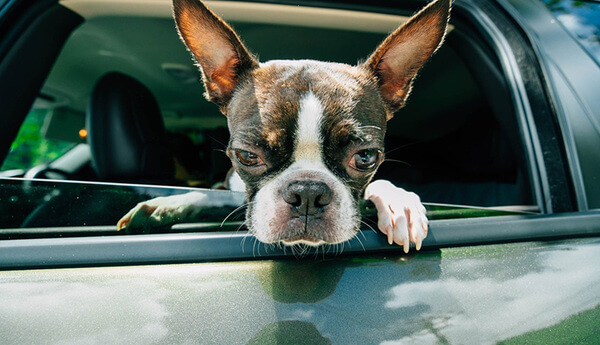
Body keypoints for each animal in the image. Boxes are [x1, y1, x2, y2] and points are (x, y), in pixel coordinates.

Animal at [117, 0, 450, 253]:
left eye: (365, 157)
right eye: (247, 156)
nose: (308, 194)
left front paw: (400, 203)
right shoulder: (227, 184)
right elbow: (208, 193)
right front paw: (166, 204)